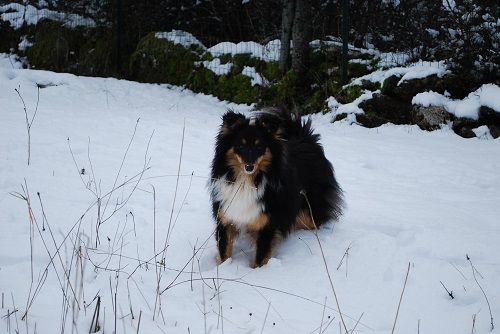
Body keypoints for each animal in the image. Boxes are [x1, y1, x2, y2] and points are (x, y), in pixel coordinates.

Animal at [208, 111, 344, 268]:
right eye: (240, 146)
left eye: (259, 147)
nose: (249, 167)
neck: (247, 181)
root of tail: (305, 137)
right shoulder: (226, 218)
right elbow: (224, 252)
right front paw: (223, 268)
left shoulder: (267, 224)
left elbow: (260, 257)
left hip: (309, 211)